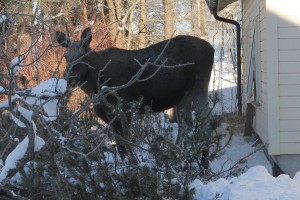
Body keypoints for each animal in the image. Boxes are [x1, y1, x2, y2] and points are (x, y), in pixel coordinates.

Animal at [56, 27, 214, 158]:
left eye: (83, 55)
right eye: (66, 57)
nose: (69, 78)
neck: (95, 87)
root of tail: (211, 48)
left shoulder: (125, 109)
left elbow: (126, 145)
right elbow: (121, 147)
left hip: (199, 86)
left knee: (205, 124)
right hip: (183, 97)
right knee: (187, 125)